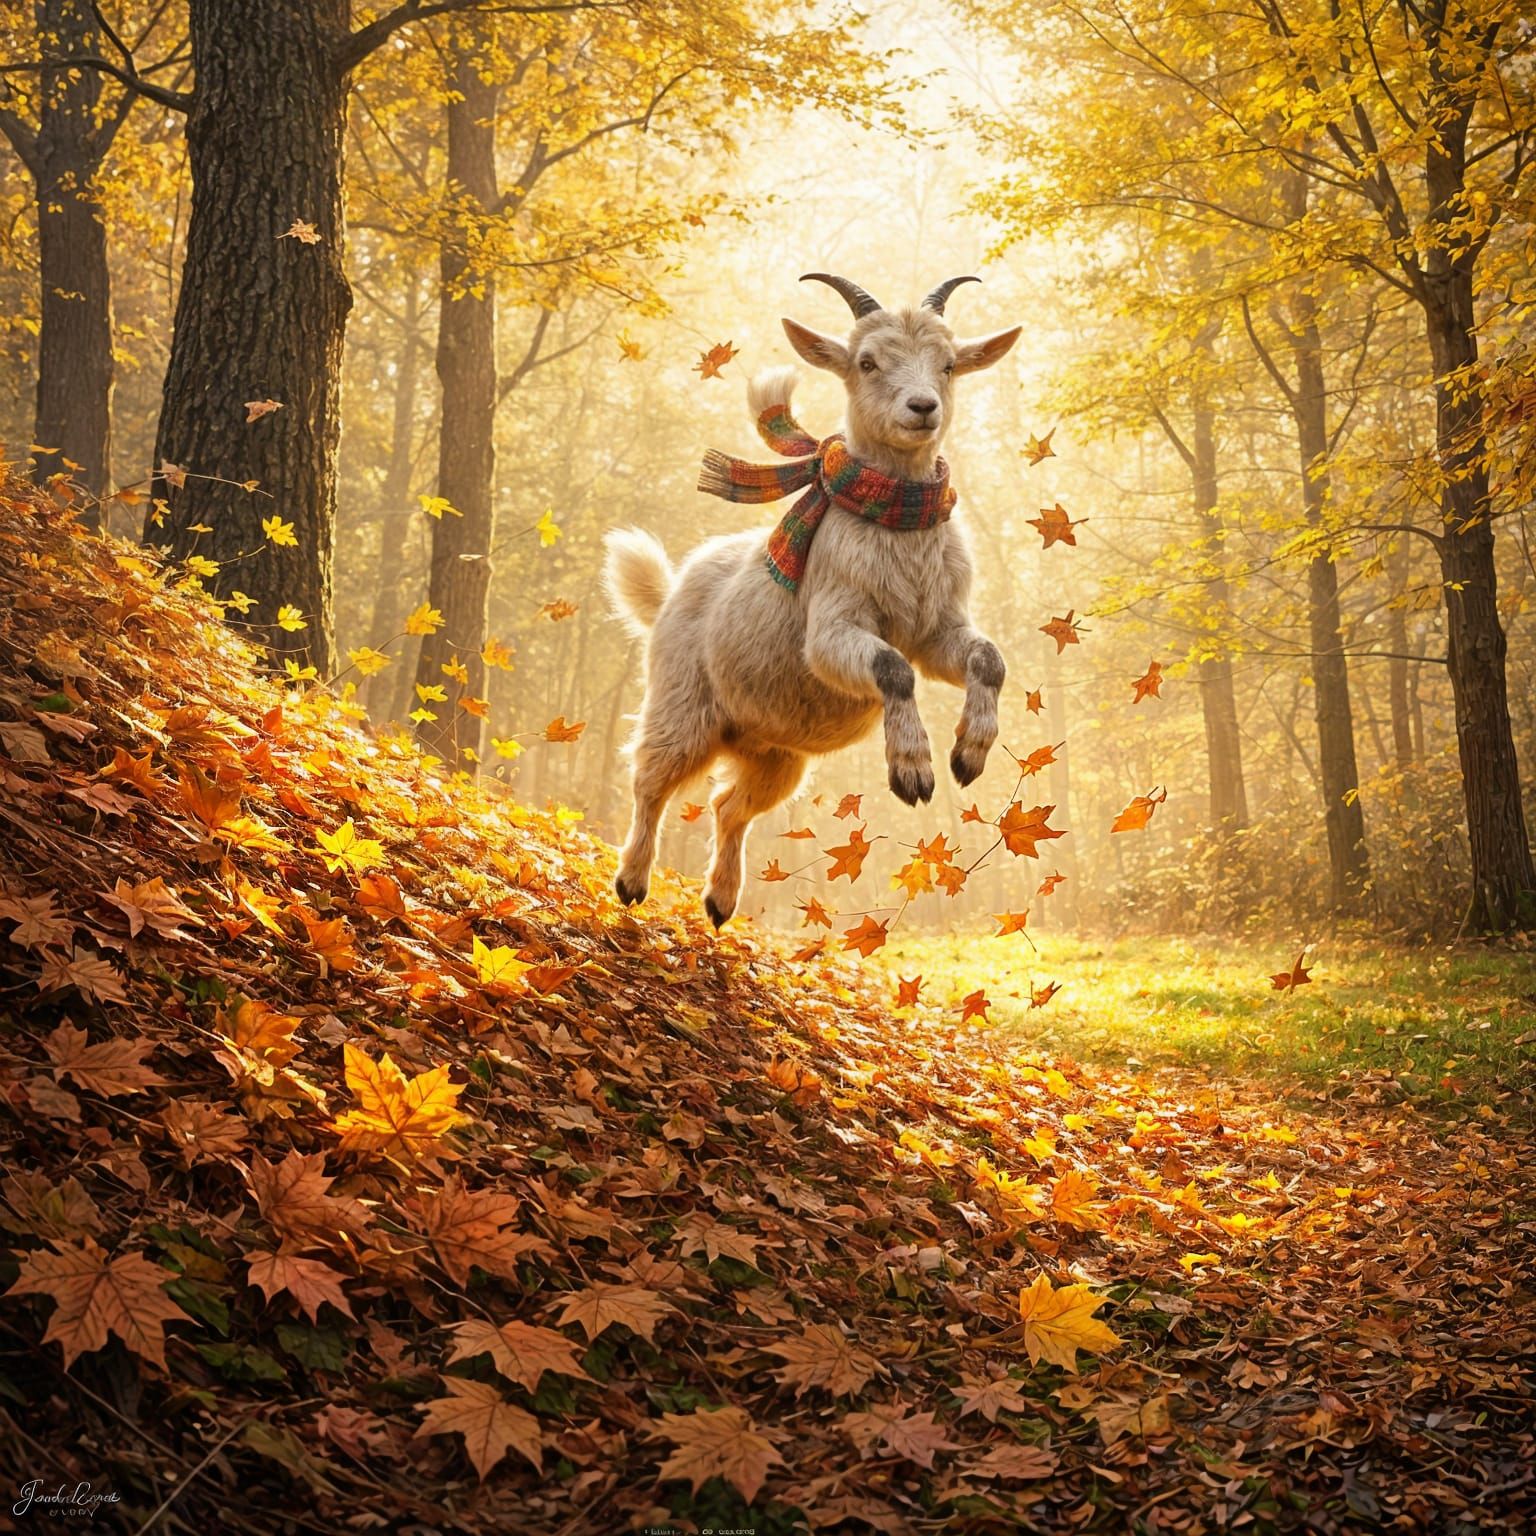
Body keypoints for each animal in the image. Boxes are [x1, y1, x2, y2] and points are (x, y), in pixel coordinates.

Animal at [604, 272, 1021, 927]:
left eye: (950, 364)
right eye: (867, 361)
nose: (922, 407)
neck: (894, 525)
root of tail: (669, 592)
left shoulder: (939, 630)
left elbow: (987, 658)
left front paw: (968, 756)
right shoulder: (830, 632)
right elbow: (893, 668)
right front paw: (913, 772)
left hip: (778, 754)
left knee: (729, 806)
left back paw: (720, 903)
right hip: (681, 706)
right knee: (650, 779)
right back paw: (631, 882)